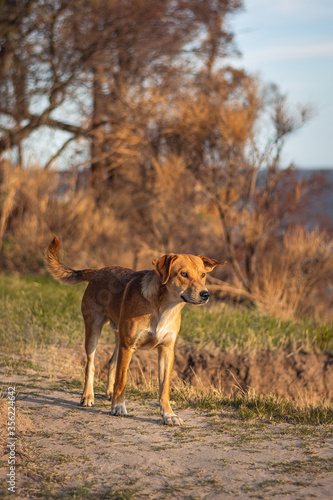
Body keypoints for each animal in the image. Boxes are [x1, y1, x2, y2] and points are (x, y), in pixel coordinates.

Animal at [45, 236, 226, 424]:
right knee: (91, 365)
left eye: (203, 275)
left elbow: (164, 388)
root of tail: (98, 271)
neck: (163, 307)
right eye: (183, 274)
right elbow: (122, 380)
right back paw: (87, 396)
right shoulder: (128, 347)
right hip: (94, 331)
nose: (206, 295)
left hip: (119, 337)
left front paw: (168, 414)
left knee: (111, 363)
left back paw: (109, 392)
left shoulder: (166, 350)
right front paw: (118, 407)